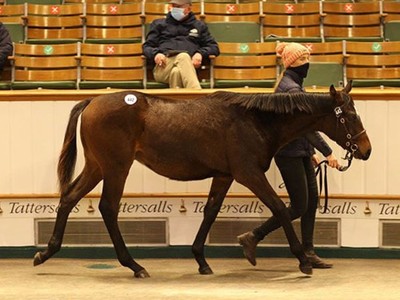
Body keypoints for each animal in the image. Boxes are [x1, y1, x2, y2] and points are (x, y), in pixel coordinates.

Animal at [33, 80, 372, 278]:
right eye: (348, 115)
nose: (366, 150)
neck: (254, 121)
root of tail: (91, 101)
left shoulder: (223, 175)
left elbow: (210, 212)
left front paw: (201, 259)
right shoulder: (248, 173)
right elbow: (279, 207)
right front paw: (302, 260)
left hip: (97, 166)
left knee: (69, 198)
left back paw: (45, 253)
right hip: (116, 167)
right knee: (108, 208)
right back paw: (134, 265)